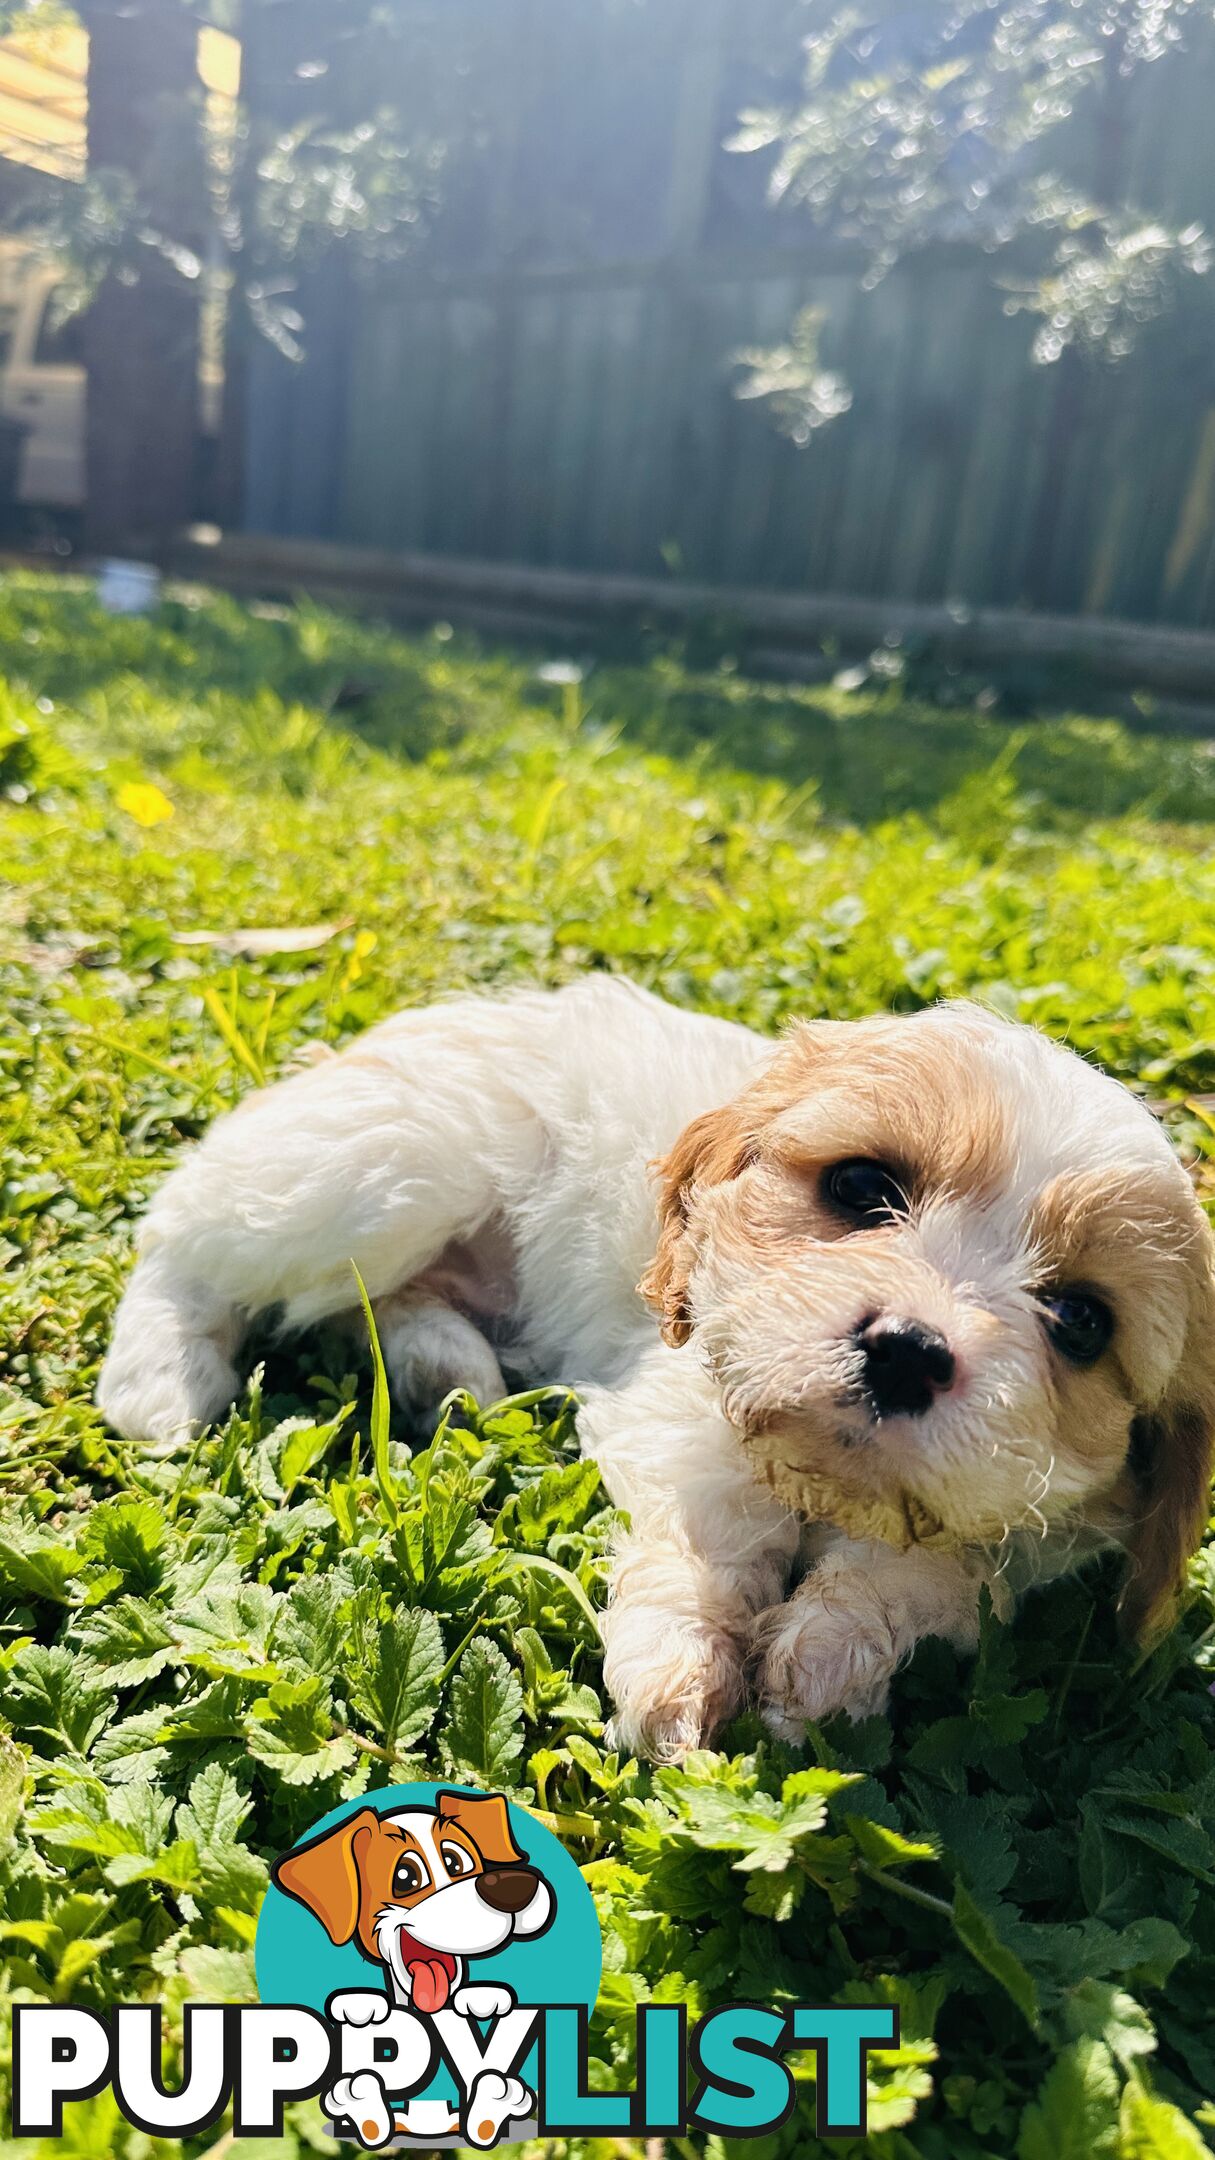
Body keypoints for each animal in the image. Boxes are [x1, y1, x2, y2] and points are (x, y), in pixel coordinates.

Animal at [96, 980, 1210, 1753]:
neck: (824, 1483)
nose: (907, 1351)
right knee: (192, 1232)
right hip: (383, 1170)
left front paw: (826, 1663)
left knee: (377, 1306)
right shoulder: (681, 1398)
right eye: (861, 1187)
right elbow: (711, 1535)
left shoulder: (1009, 1537)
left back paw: (445, 1377)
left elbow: (924, 1568)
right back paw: (160, 1381)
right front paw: (680, 1675)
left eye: (1079, 1322)